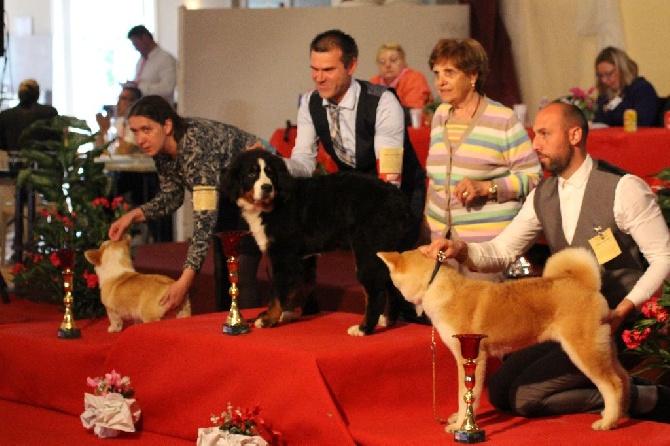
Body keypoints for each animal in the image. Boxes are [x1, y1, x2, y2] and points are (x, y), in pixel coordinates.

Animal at [223, 149, 418, 334]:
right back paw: (387, 320)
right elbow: (299, 286)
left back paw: (363, 329)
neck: (273, 204)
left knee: (376, 292)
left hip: (368, 250)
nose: (266, 187)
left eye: (270, 173)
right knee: (393, 289)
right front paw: (291, 312)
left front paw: (268, 318)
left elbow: (278, 290)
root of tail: (399, 198)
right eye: (251, 173)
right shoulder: (300, 258)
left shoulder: (284, 254)